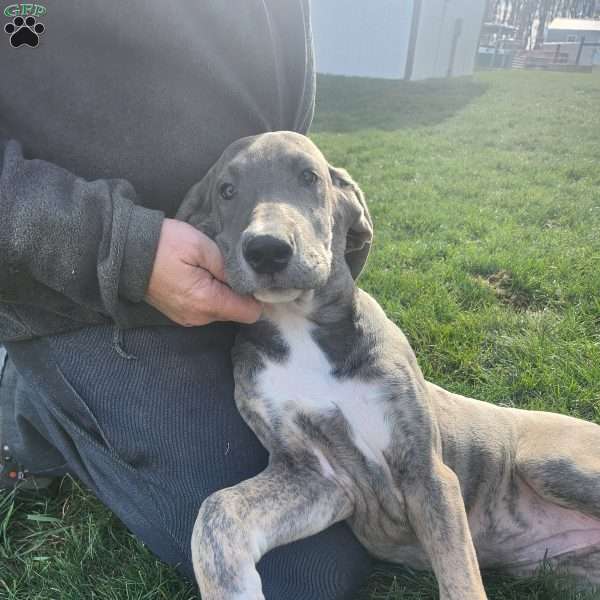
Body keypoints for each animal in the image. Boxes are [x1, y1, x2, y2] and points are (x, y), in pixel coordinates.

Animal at [176, 132, 600, 600]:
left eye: (310, 177)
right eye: (226, 191)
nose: (267, 250)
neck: (300, 328)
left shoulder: (426, 470)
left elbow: (460, 579)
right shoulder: (314, 476)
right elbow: (218, 512)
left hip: (547, 462)